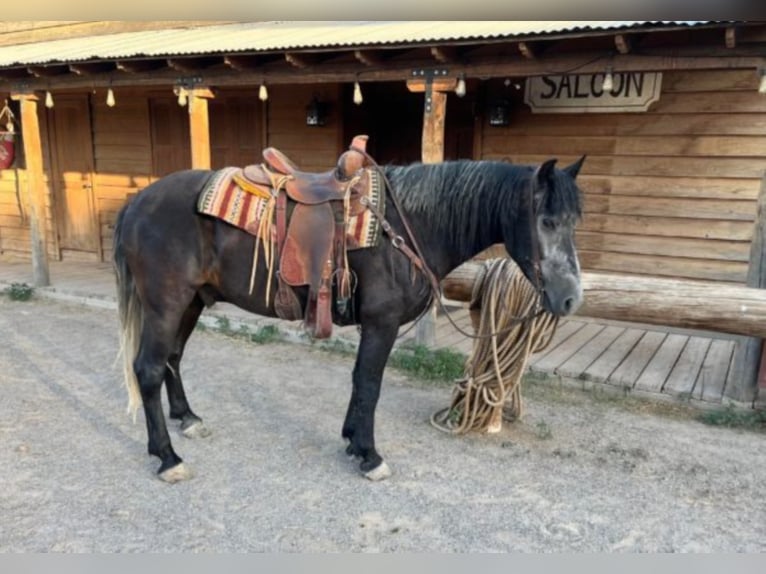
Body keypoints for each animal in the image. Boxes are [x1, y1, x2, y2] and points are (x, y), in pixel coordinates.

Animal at [111, 151, 584, 484]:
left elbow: (359, 381)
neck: (408, 226)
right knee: (148, 369)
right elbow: (370, 384)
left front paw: (352, 442)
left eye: (574, 221)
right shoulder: (382, 322)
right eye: (546, 220)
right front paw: (370, 455)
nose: (570, 299)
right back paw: (168, 457)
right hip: (166, 303)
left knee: (172, 359)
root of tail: (137, 202)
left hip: (190, 302)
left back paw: (188, 418)